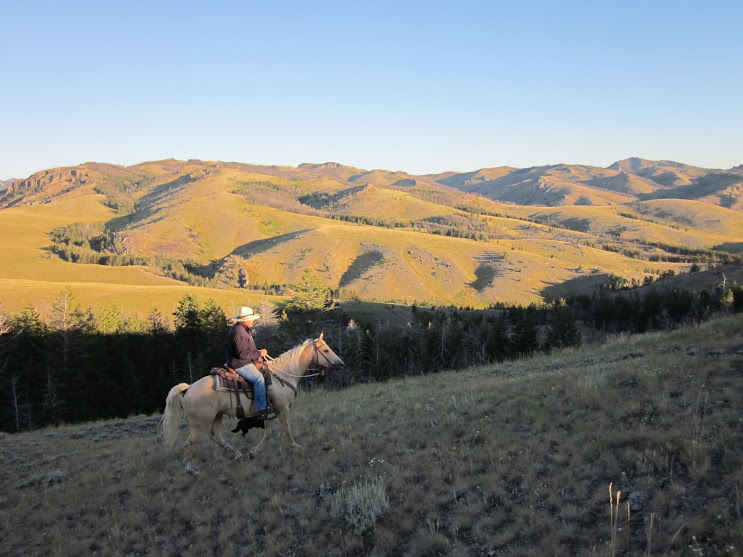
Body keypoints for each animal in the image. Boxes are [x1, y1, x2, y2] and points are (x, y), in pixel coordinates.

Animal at [161, 334, 346, 474]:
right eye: (325, 350)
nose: (341, 364)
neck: (283, 375)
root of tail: (188, 388)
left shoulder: (270, 412)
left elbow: (268, 433)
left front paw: (254, 451)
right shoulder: (282, 408)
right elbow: (286, 428)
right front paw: (295, 446)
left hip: (217, 416)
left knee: (215, 435)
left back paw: (237, 454)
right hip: (200, 423)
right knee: (189, 443)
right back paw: (190, 470)